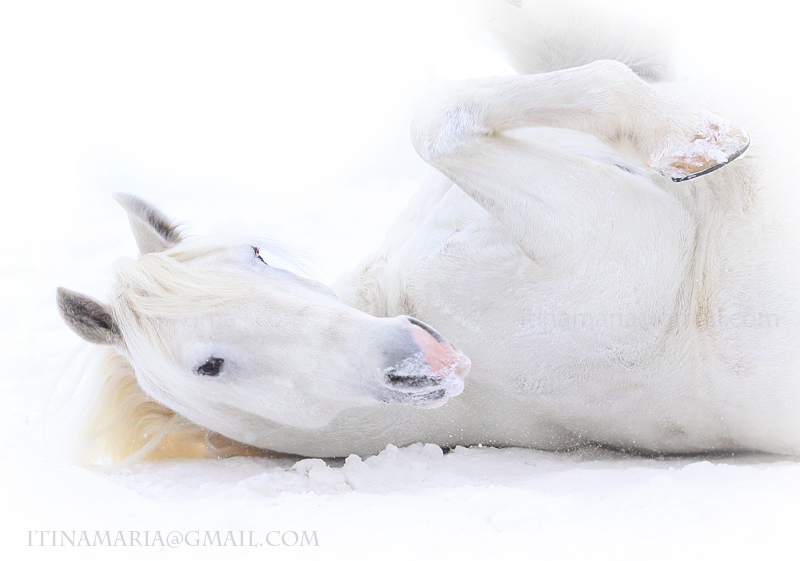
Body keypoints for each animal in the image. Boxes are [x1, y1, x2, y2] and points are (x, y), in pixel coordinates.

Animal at [57, 1, 800, 464]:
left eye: (258, 253)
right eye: (209, 364)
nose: (416, 351)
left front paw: (691, 137)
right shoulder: (623, 248)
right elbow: (442, 117)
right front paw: (697, 143)